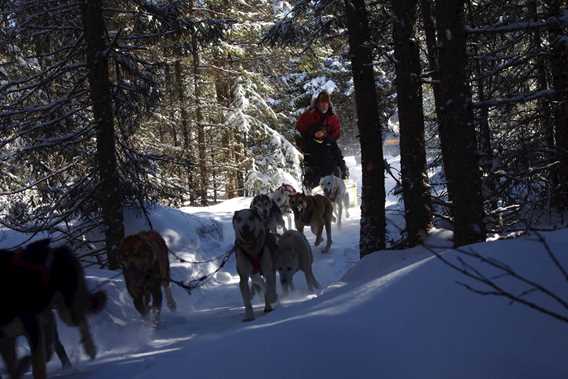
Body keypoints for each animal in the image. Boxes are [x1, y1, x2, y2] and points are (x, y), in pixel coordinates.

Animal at [0, 240, 106, 379]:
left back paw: (90, 349)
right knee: (52, 346)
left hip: (66, 312)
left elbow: (37, 367)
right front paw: (21, 367)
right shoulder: (6, 339)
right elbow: (14, 368)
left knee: (81, 320)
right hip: (47, 315)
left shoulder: (32, 330)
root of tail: (58, 249)